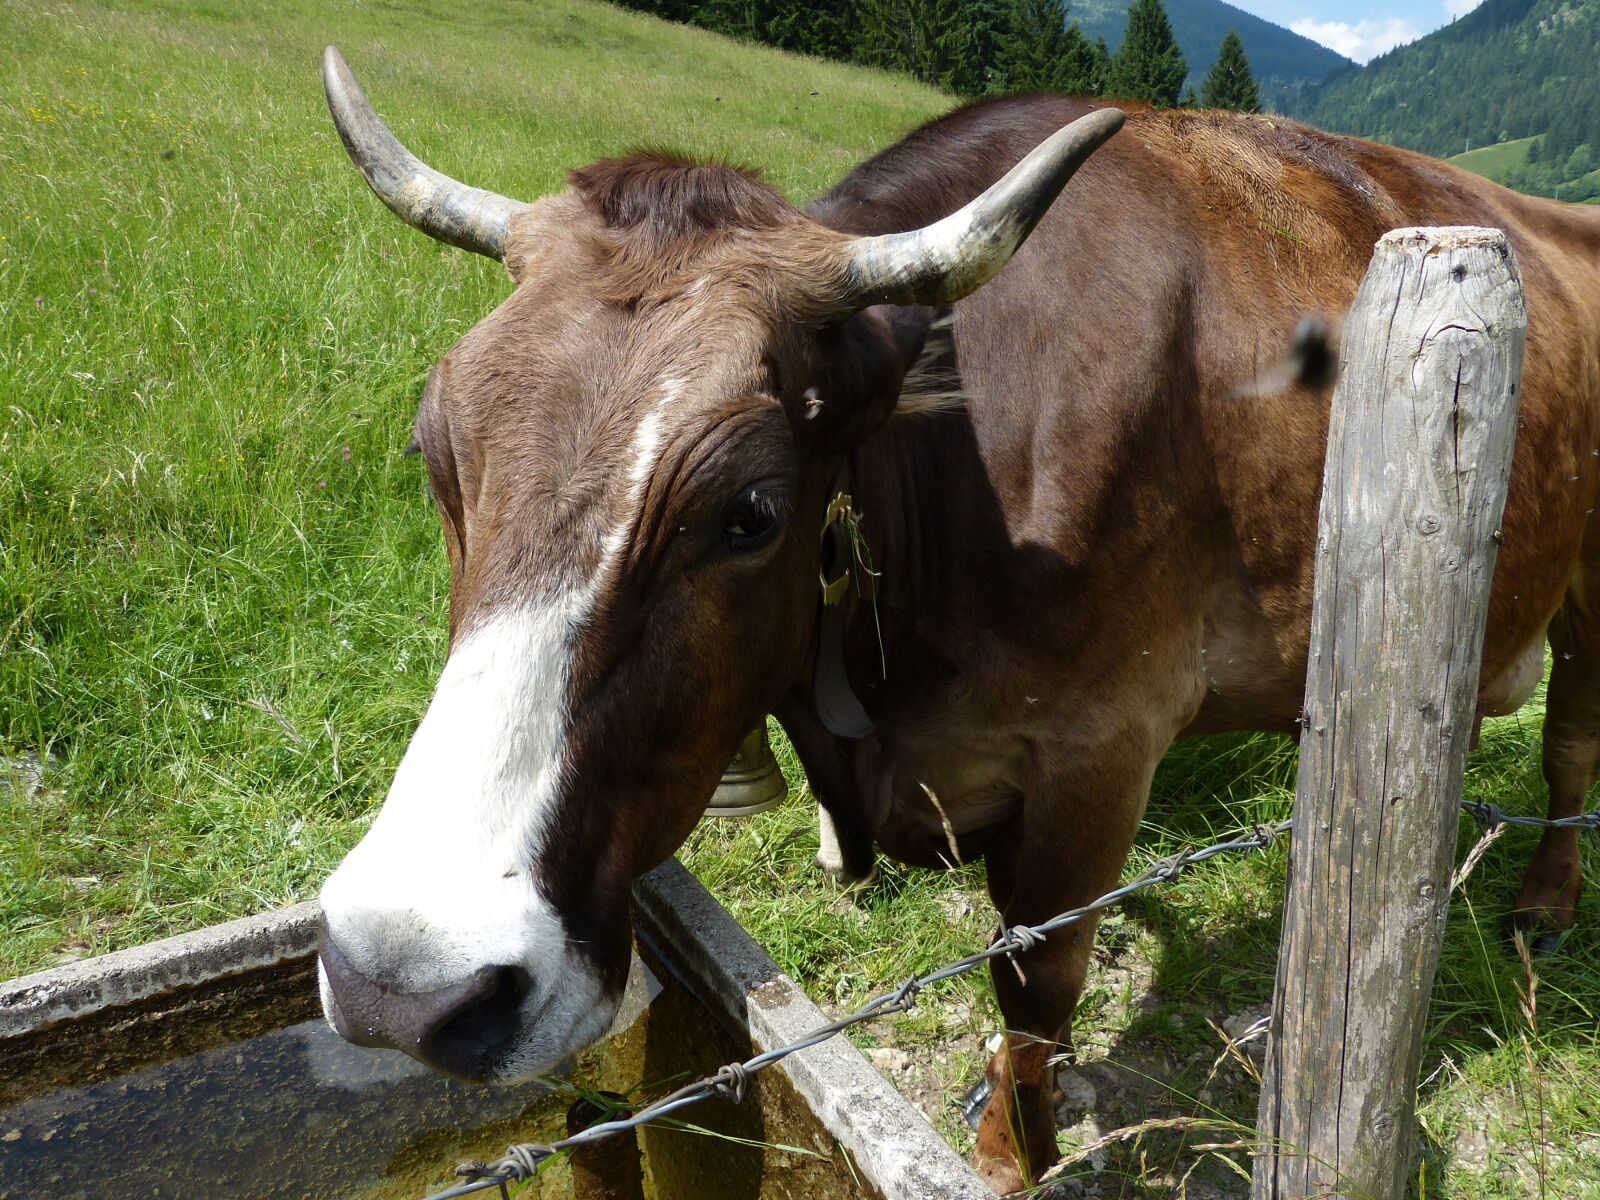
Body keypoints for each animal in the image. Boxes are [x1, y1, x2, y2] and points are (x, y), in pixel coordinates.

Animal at [313, 45, 1600, 1192]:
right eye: (435, 454)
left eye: (750, 512)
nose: (401, 981)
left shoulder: (1102, 747)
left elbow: (1034, 982)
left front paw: (1007, 1156)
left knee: (1570, 739)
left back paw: (1542, 907)